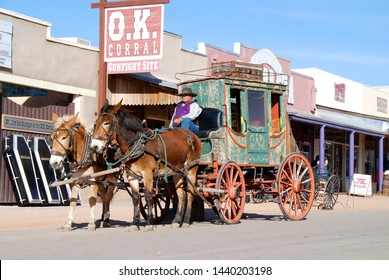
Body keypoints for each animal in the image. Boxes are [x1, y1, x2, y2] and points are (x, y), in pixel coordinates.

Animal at [89, 100, 202, 232]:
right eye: (95, 123)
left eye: (107, 123)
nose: (94, 146)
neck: (137, 145)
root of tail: (193, 135)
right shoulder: (132, 175)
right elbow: (136, 197)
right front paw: (135, 223)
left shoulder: (148, 173)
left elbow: (148, 196)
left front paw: (149, 223)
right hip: (178, 172)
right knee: (180, 194)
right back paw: (176, 220)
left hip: (191, 169)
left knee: (190, 193)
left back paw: (186, 220)